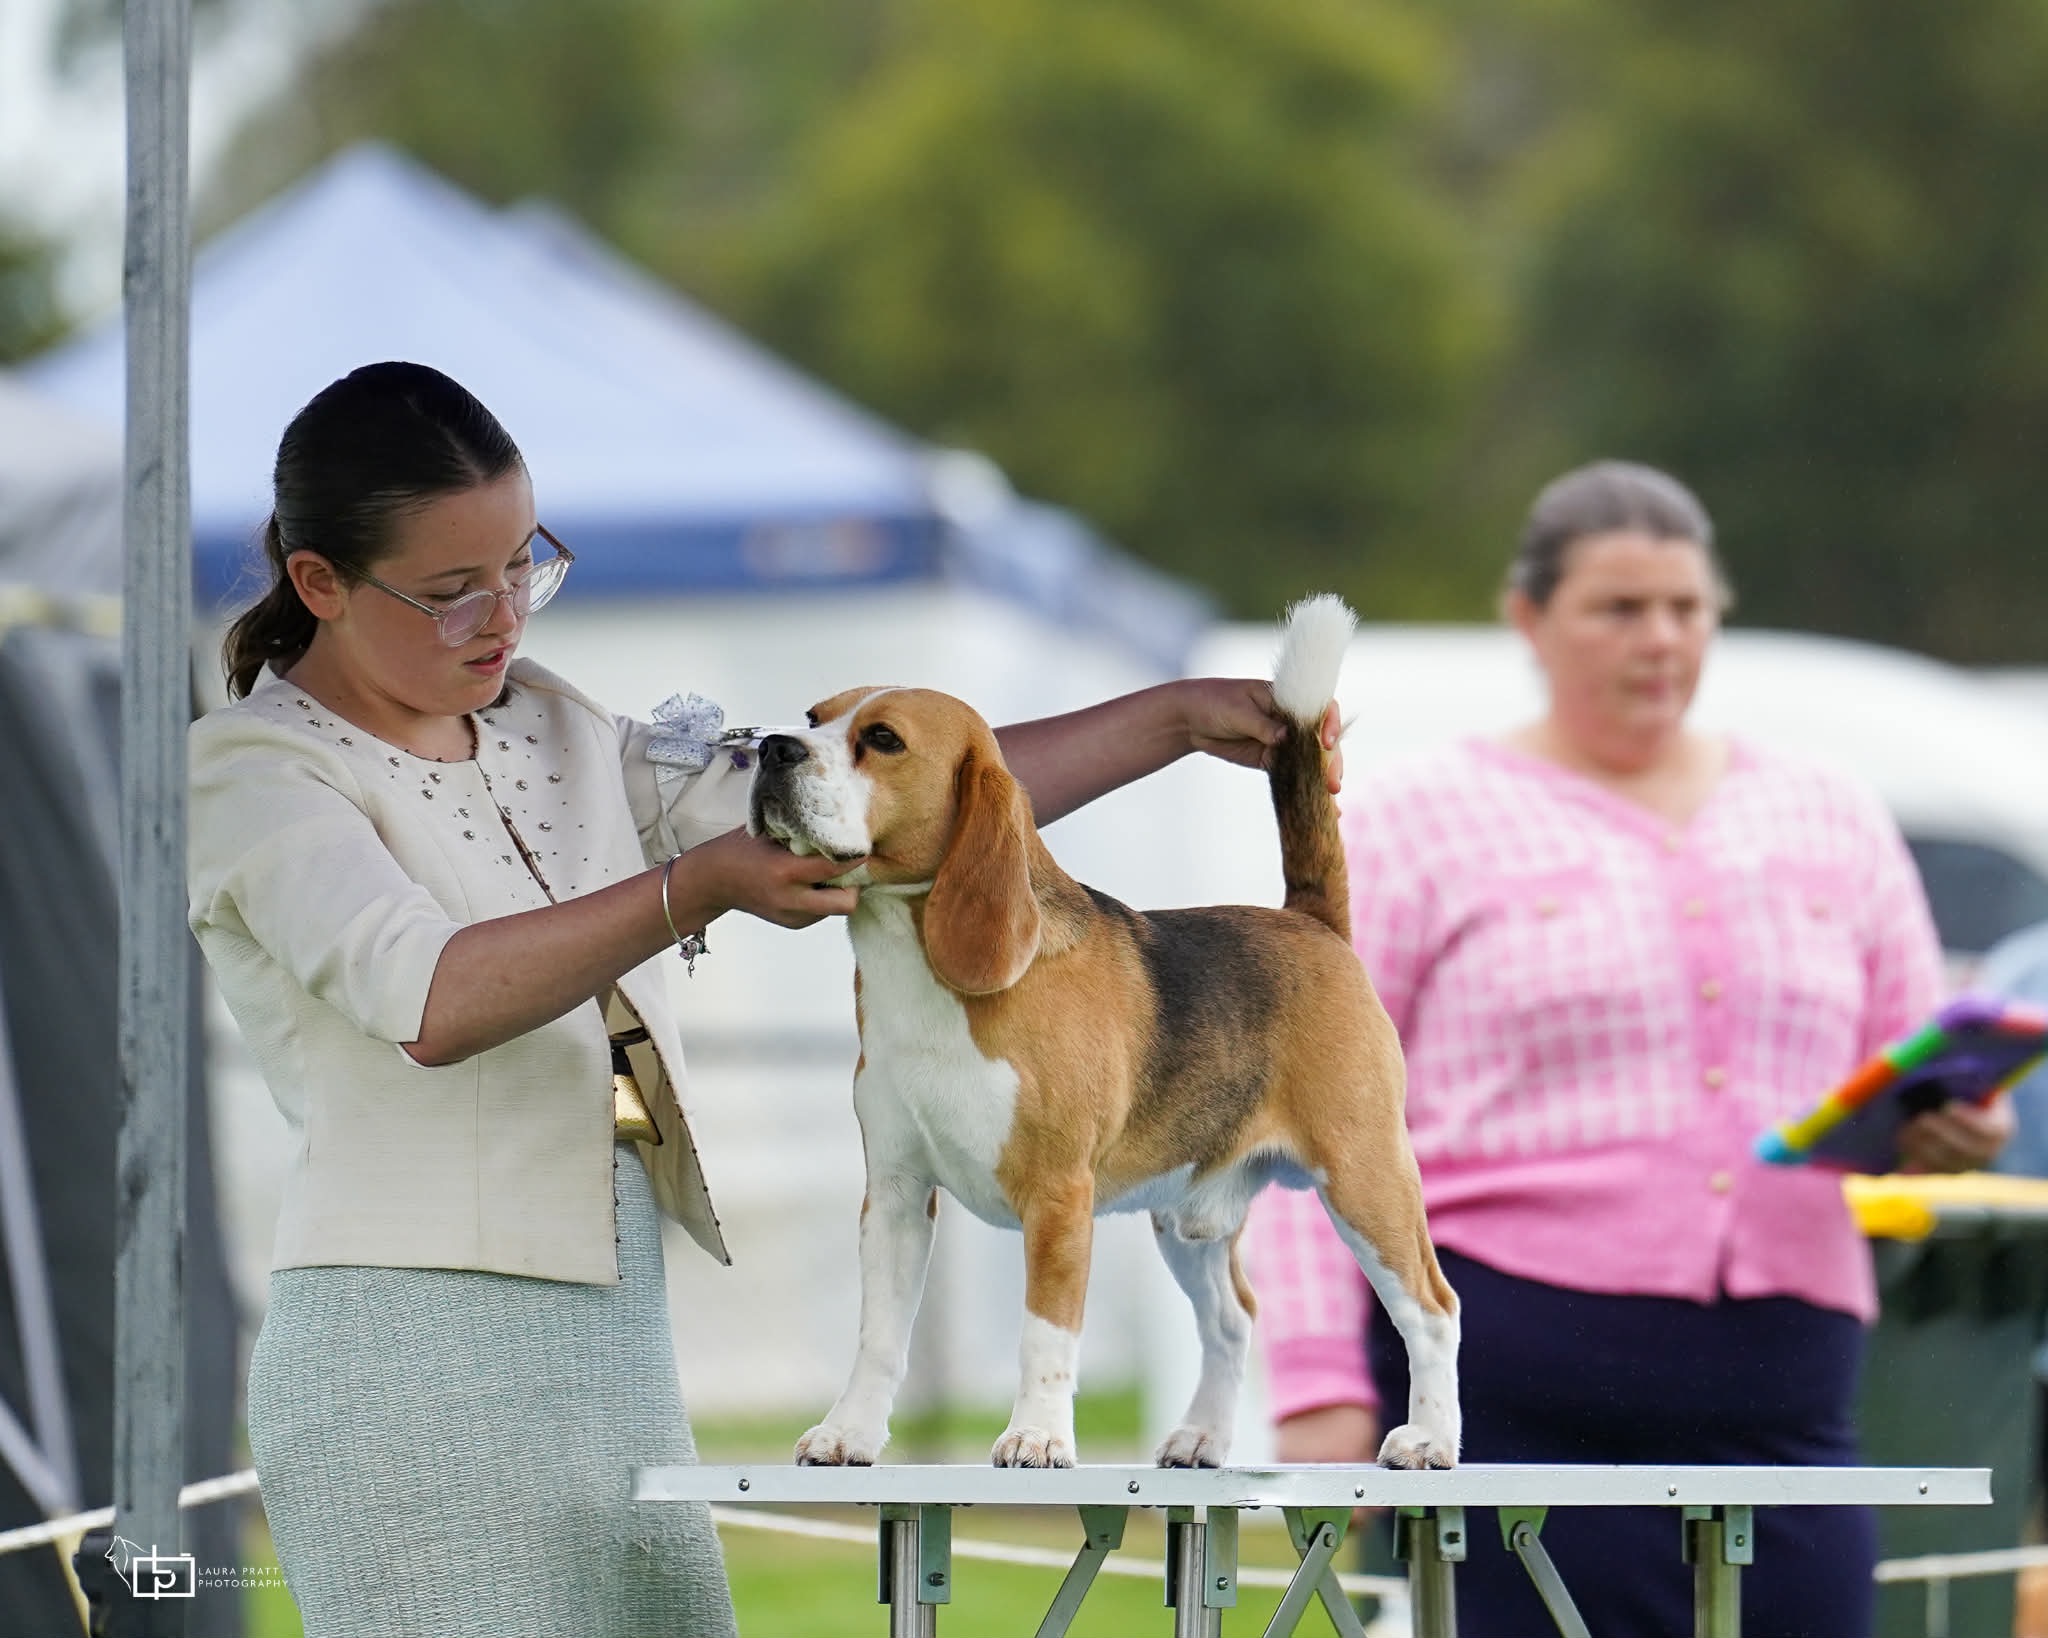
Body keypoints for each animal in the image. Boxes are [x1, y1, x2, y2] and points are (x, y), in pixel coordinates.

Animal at [749, 595, 1460, 1470]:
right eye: (813, 717)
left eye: (882, 740)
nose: (769, 747)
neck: (918, 974)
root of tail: (1310, 921)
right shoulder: (894, 1193)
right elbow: (879, 1333)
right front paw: (847, 1432)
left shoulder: (1058, 1197)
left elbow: (1045, 1335)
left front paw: (1035, 1438)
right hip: (1189, 1212)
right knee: (1235, 1318)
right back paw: (1202, 1438)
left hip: (1363, 1176)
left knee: (1432, 1307)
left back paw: (1430, 1439)